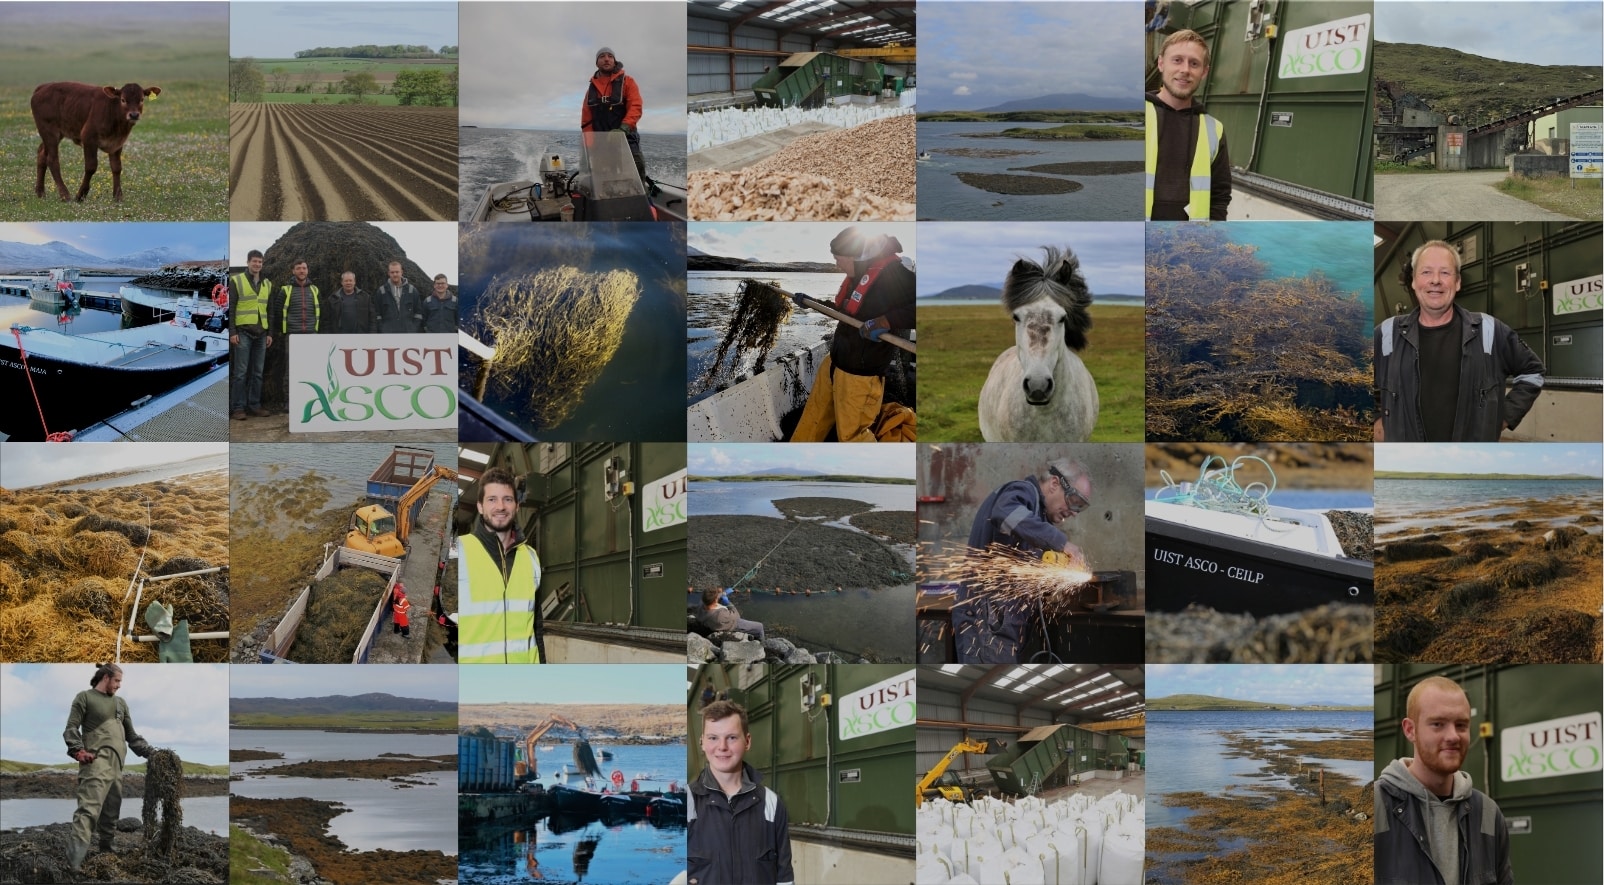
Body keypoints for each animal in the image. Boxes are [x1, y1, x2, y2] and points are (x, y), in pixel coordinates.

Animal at [31, 81, 161, 202]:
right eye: (123, 100)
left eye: (141, 99)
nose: (134, 115)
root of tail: (43, 87)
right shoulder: (88, 138)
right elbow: (91, 167)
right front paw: (80, 195)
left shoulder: (117, 143)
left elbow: (116, 167)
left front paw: (118, 196)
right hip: (49, 131)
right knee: (52, 160)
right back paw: (65, 195)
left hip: (55, 134)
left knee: (42, 153)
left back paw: (40, 192)